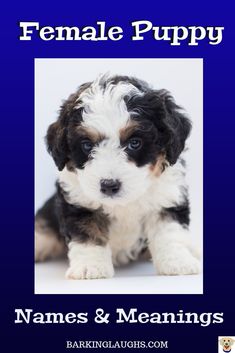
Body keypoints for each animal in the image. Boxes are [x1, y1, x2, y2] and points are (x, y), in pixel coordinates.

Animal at [35, 73, 200, 278]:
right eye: (87, 145)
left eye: (135, 143)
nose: (109, 186)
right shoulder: (78, 201)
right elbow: (88, 232)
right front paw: (90, 266)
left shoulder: (167, 196)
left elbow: (169, 231)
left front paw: (177, 262)